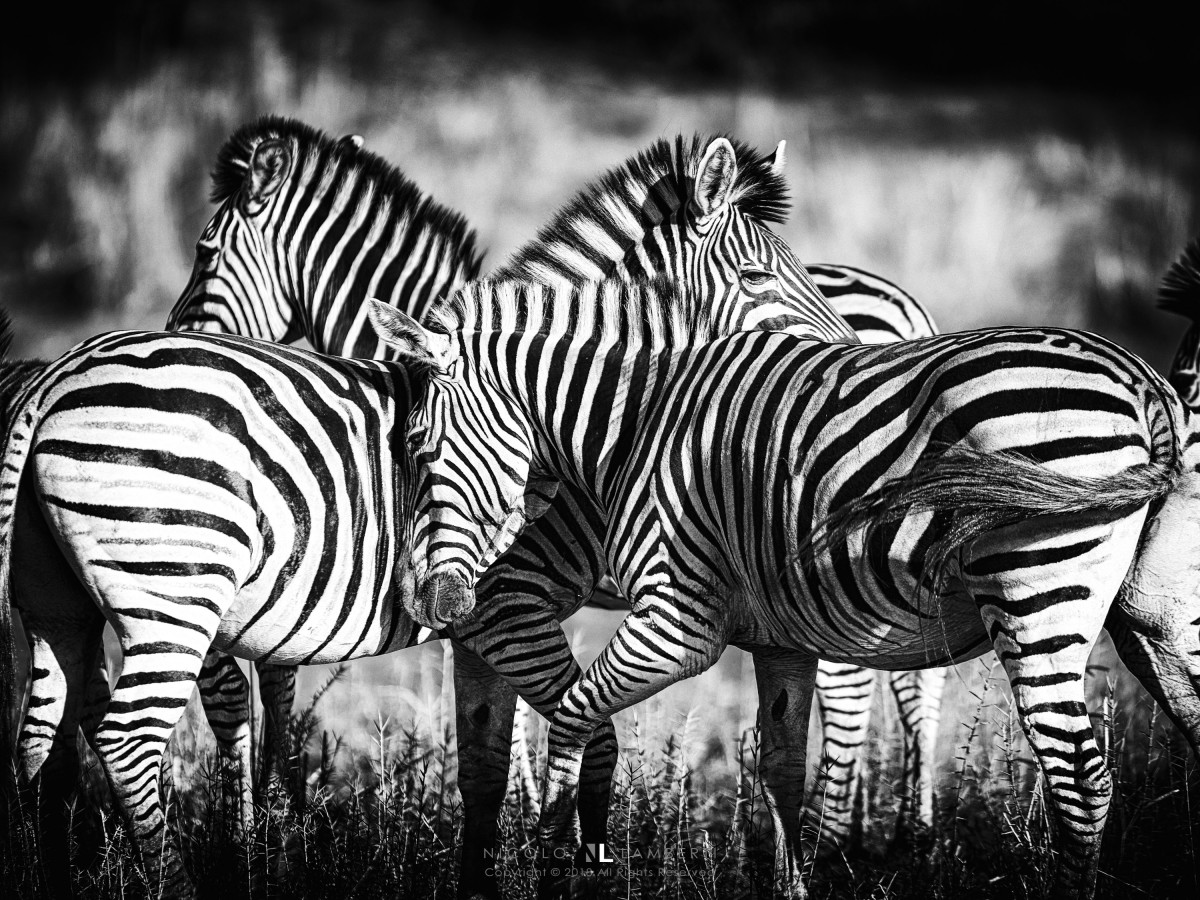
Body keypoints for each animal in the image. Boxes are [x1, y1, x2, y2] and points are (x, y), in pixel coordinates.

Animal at [0, 129, 866, 897]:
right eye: (755, 275)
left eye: (205, 254)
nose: (848, 361)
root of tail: (60, 373)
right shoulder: (506, 607)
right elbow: (578, 747)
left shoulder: (486, 619)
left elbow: (488, 762)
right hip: (168, 588)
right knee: (114, 739)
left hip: (69, 601)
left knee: (47, 740)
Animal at [369, 277, 1197, 900]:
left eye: (416, 445)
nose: (436, 605)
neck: (634, 424)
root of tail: (1145, 382)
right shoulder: (780, 640)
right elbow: (782, 771)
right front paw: (794, 884)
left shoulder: (679, 621)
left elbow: (573, 719)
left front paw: (552, 860)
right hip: (1154, 615)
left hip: (1036, 590)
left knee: (1080, 779)